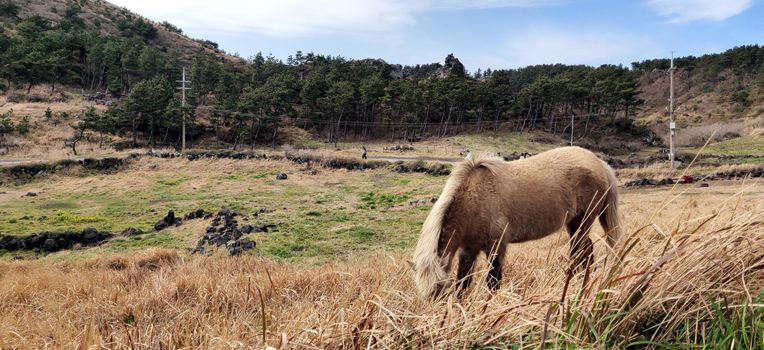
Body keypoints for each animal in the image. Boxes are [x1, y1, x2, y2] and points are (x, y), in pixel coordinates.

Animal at [412, 146, 620, 300]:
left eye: (440, 292)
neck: (473, 198)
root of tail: (600, 164)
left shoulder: (497, 246)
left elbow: (493, 280)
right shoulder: (468, 250)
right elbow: (463, 282)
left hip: (582, 222)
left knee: (578, 253)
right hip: (574, 224)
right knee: (587, 251)